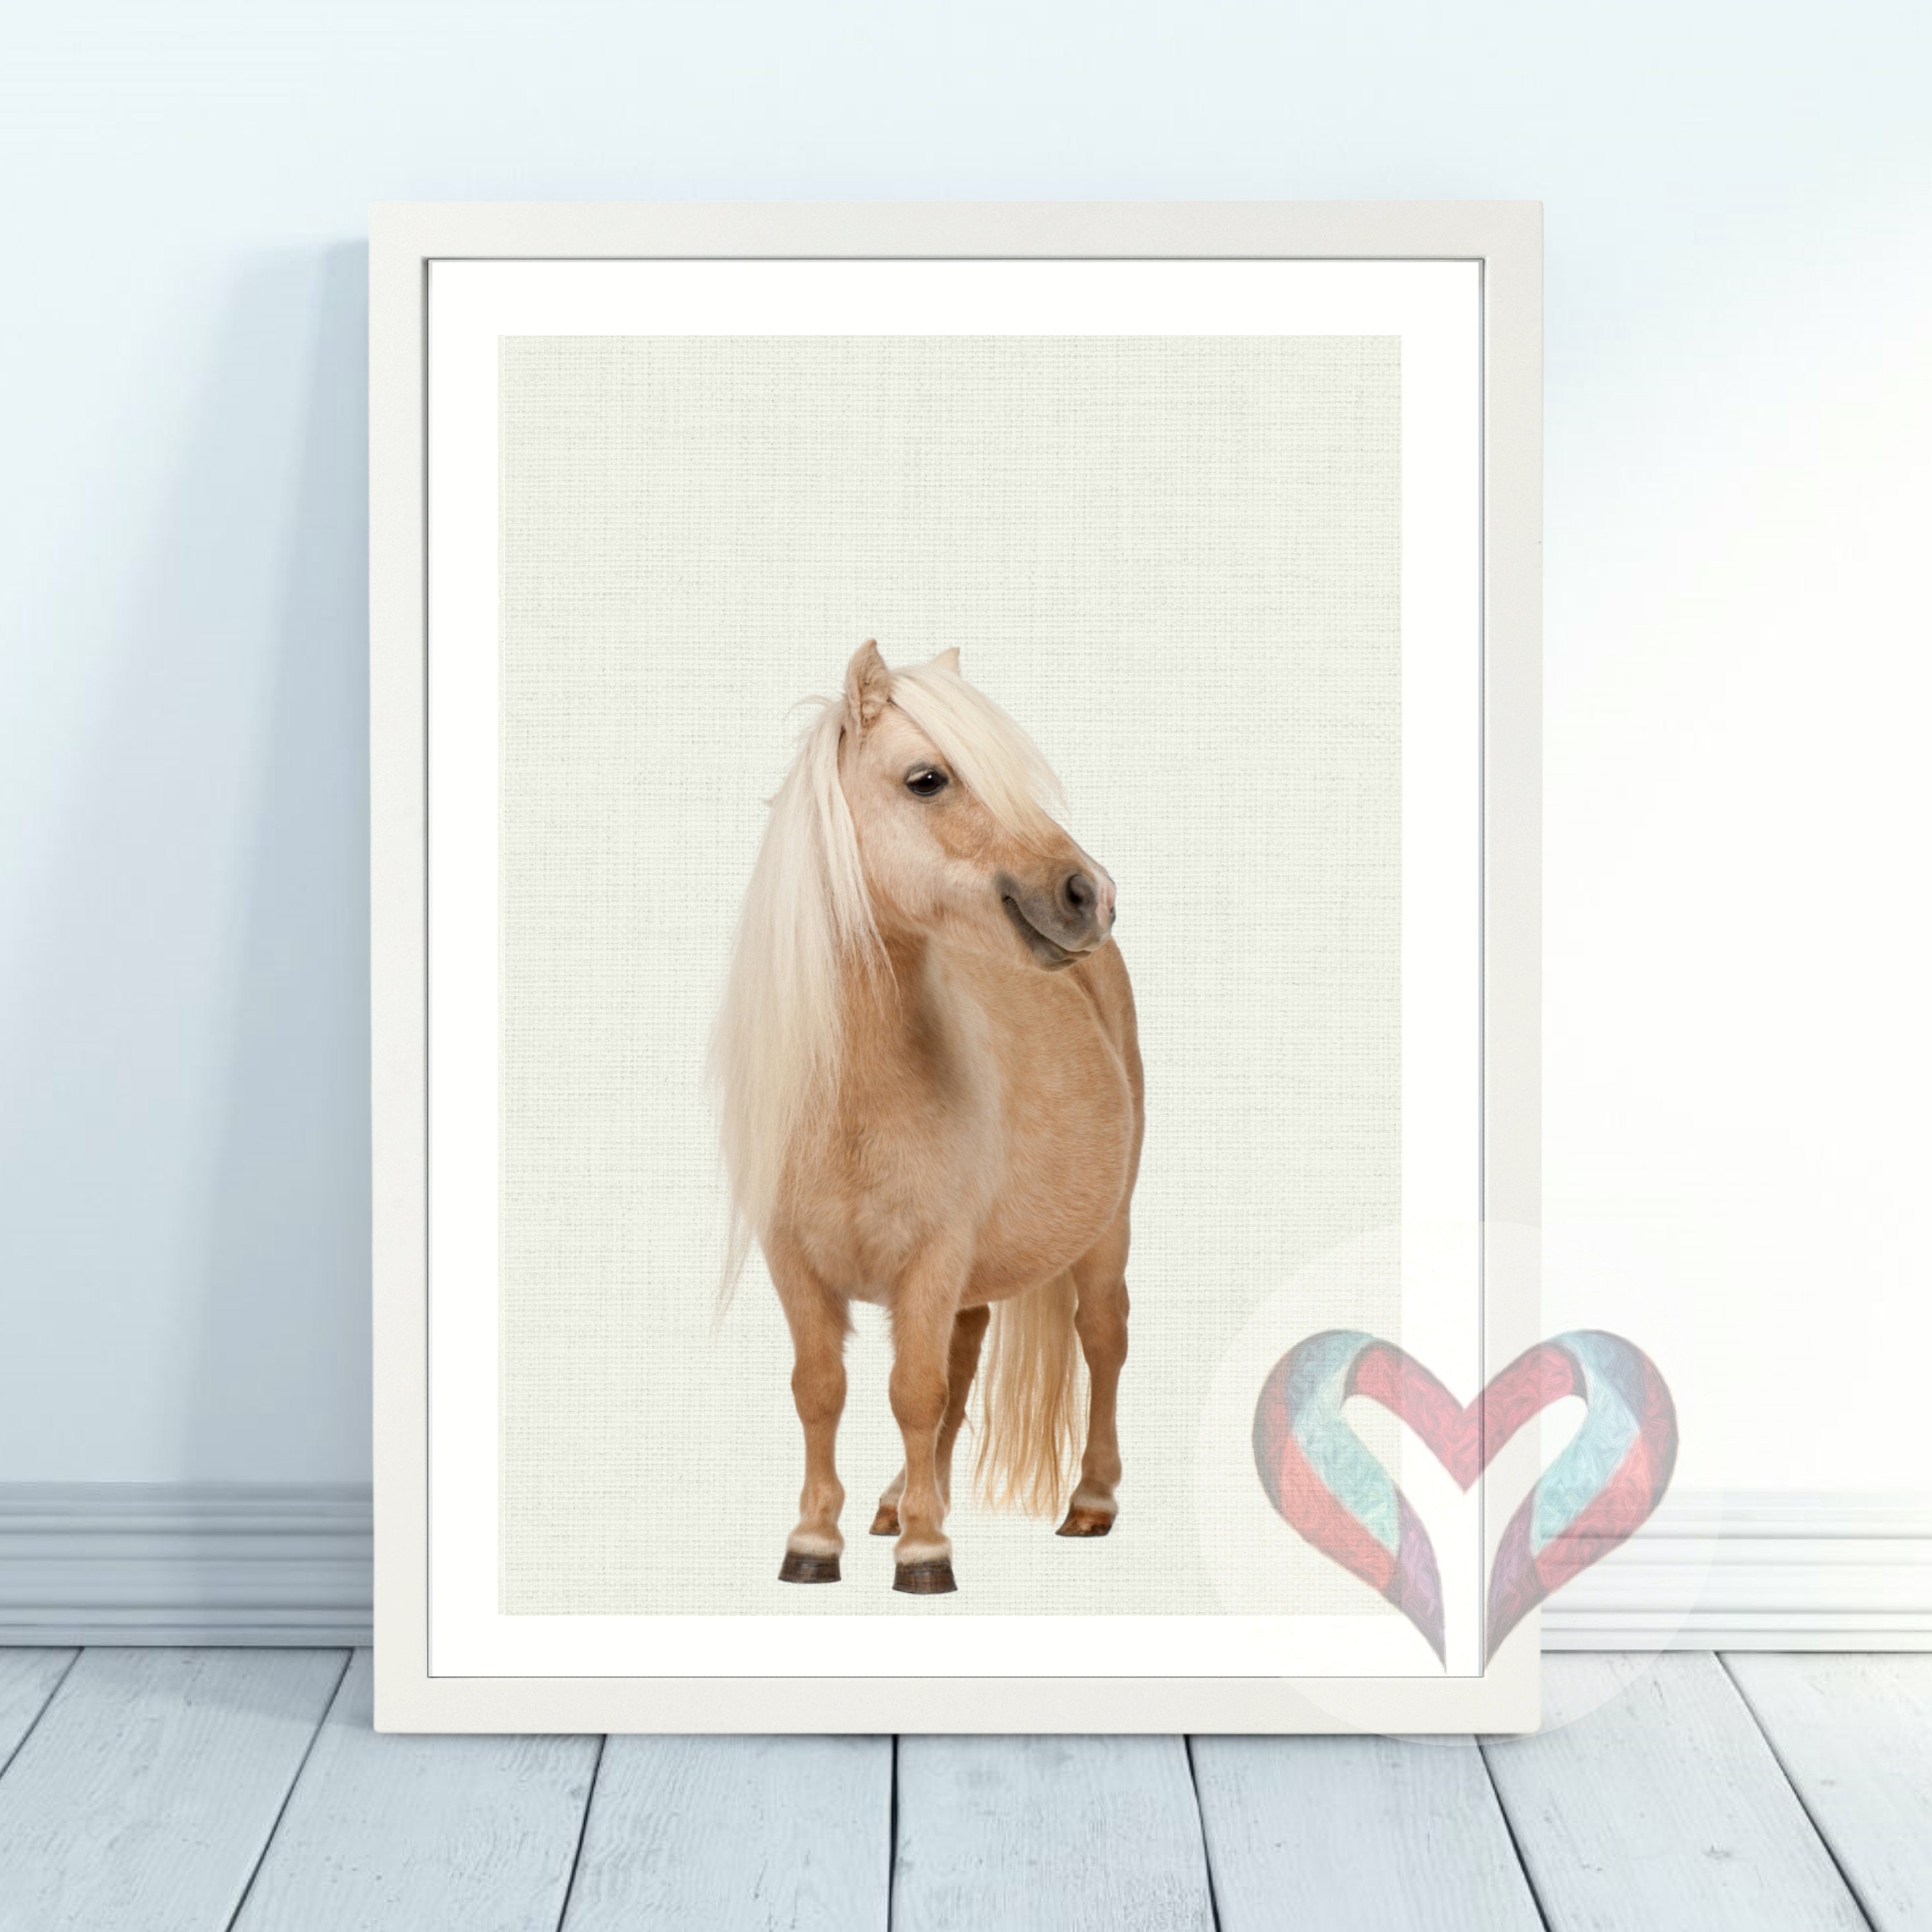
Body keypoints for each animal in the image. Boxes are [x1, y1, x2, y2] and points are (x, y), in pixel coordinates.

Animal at [712, 641, 1145, 1595]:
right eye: (926, 779)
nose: (1090, 894)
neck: (854, 1099)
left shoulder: (932, 1260)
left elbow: (914, 1391)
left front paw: (925, 1554)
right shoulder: (795, 1263)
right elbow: (823, 1389)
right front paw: (817, 1541)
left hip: (1105, 1235)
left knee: (1101, 1341)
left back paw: (1091, 1503)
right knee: (966, 1351)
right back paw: (899, 1500)